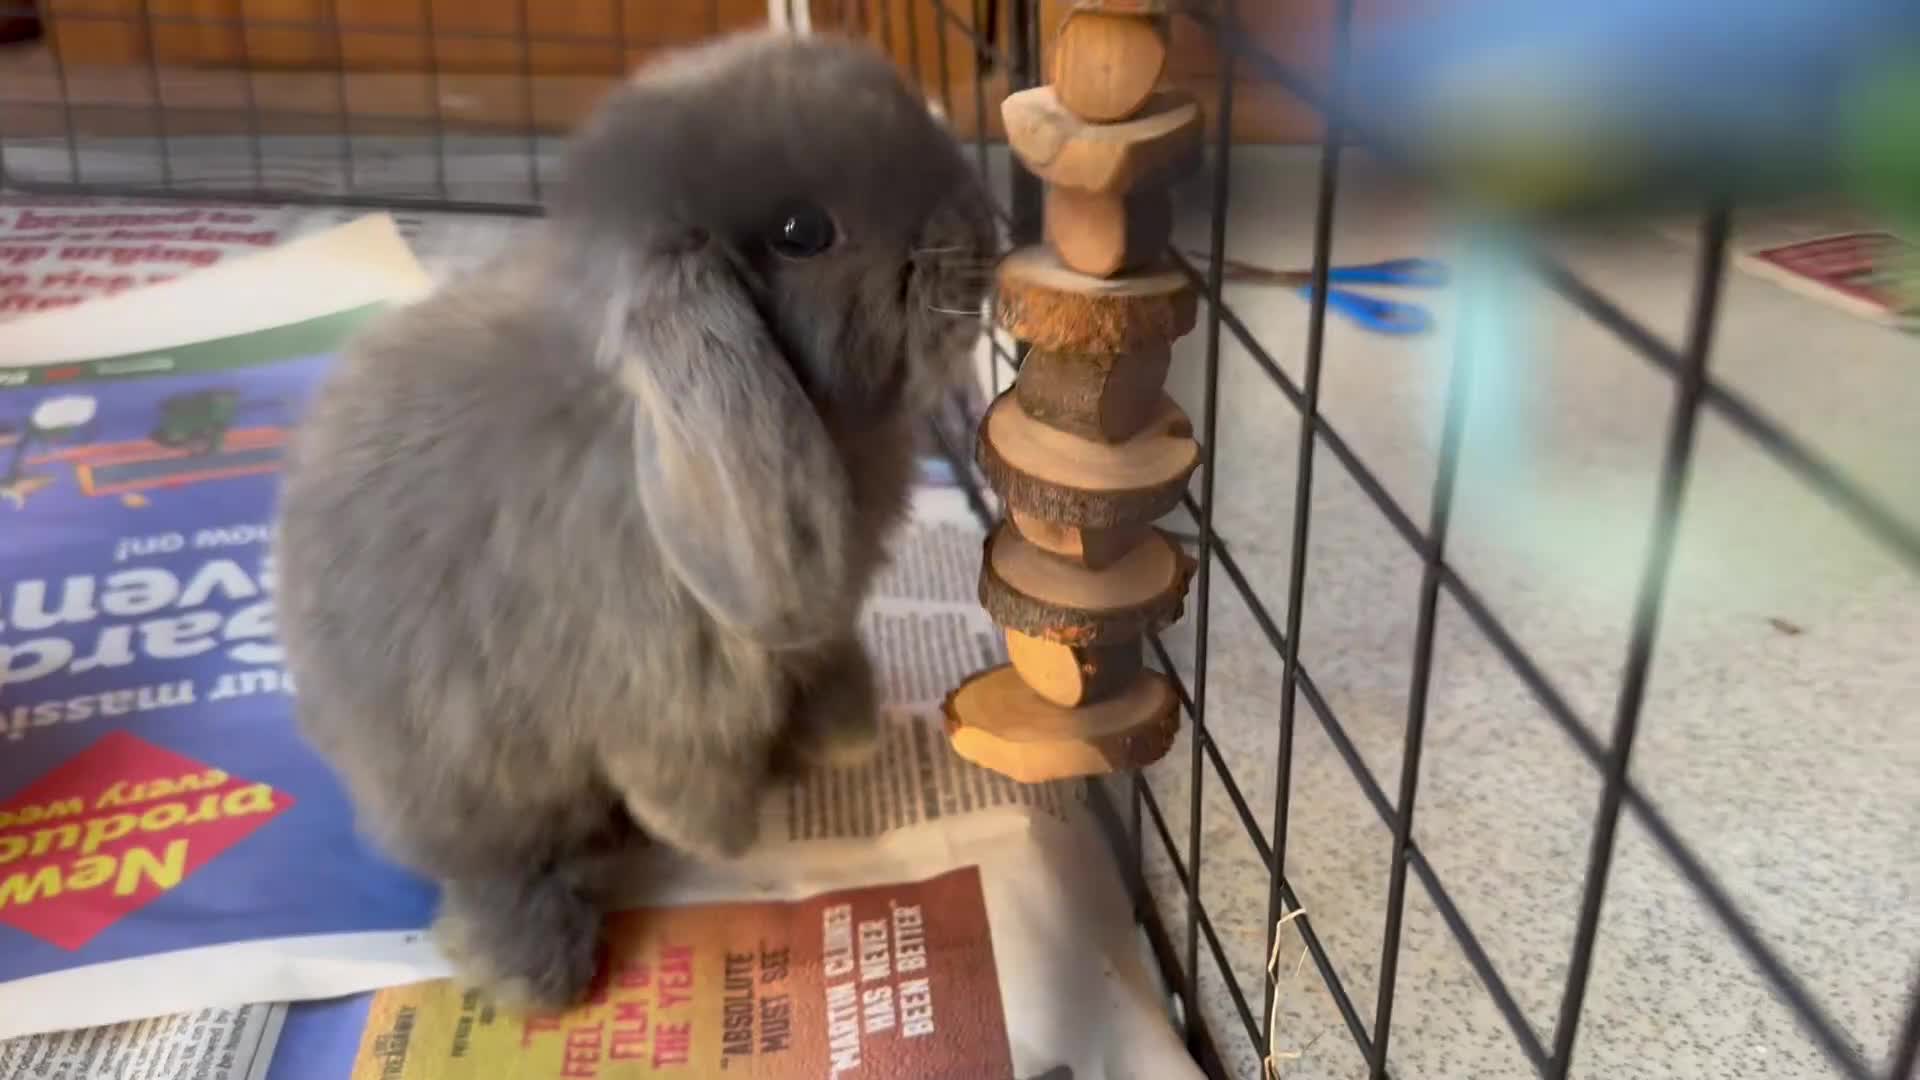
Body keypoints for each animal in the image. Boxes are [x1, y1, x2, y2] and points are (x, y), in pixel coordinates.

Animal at [271, 28, 998, 1011]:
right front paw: (716, 836)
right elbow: (677, 765)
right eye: (802, 232)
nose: (982, 231)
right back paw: (540, 969)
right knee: (494, 869)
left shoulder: (808, 631)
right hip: (467, 782)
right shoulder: (654, 680)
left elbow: (823, 663)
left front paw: (846, 740)